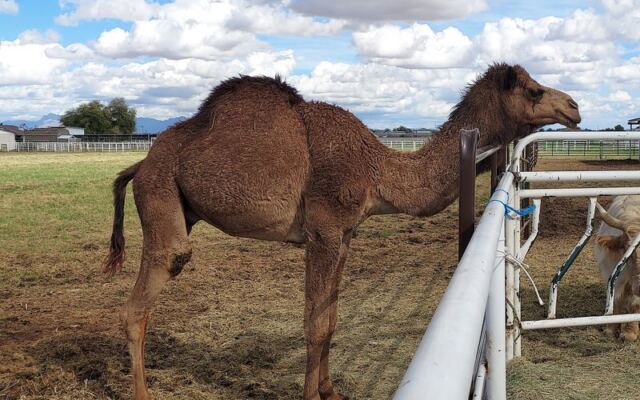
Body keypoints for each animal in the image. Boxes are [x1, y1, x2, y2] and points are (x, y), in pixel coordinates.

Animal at [104, 63, 580, 400]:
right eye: (533, 90)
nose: (574, 106)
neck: (377, 168)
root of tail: (140, 163)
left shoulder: (345, 235)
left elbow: (330, 320)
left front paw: (331, 391)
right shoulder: (324, 230)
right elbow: (314, 324)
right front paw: (311, 396)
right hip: (160, 194)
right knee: (145, 293)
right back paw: (142, 394)